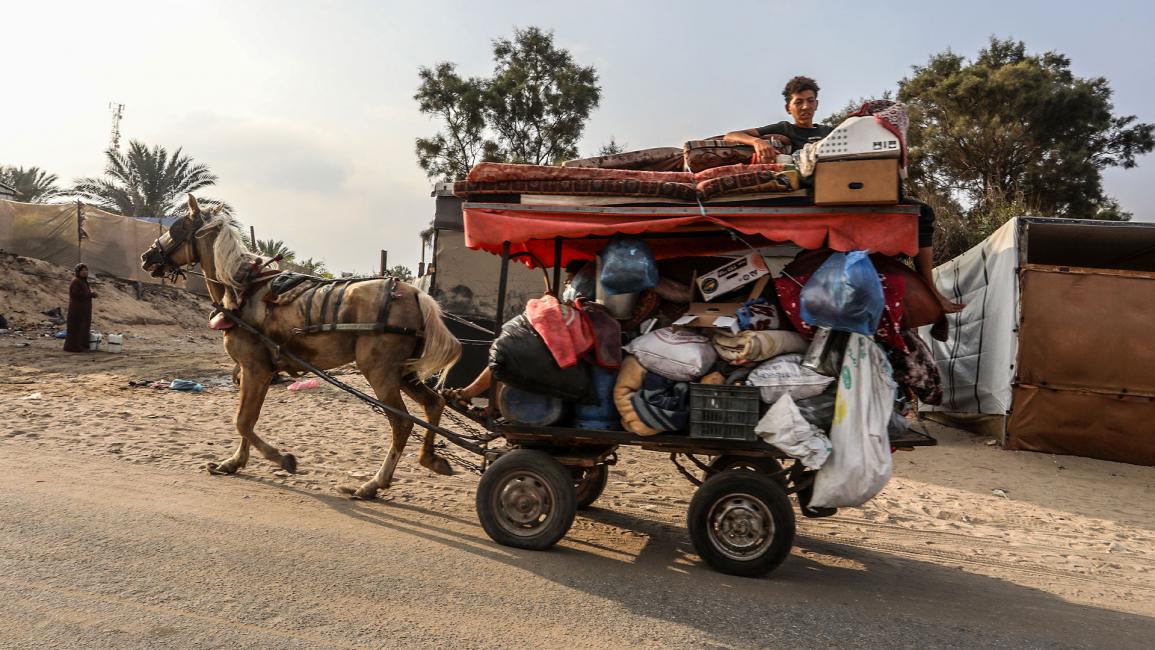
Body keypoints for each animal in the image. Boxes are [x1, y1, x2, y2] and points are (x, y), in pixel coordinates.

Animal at [145, 192, 464, 498]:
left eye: (176, 228)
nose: (147, 257)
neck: (243, 288)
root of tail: (415, 294)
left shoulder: (254, 367)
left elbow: (243, 421)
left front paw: (282, 459)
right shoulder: (258, 370)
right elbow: (248, 419)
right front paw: (234, 462)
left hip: (380, 371)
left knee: (402, 422)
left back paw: (373, 484)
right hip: (404, 372)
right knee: (434, 404)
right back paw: (430, 459)